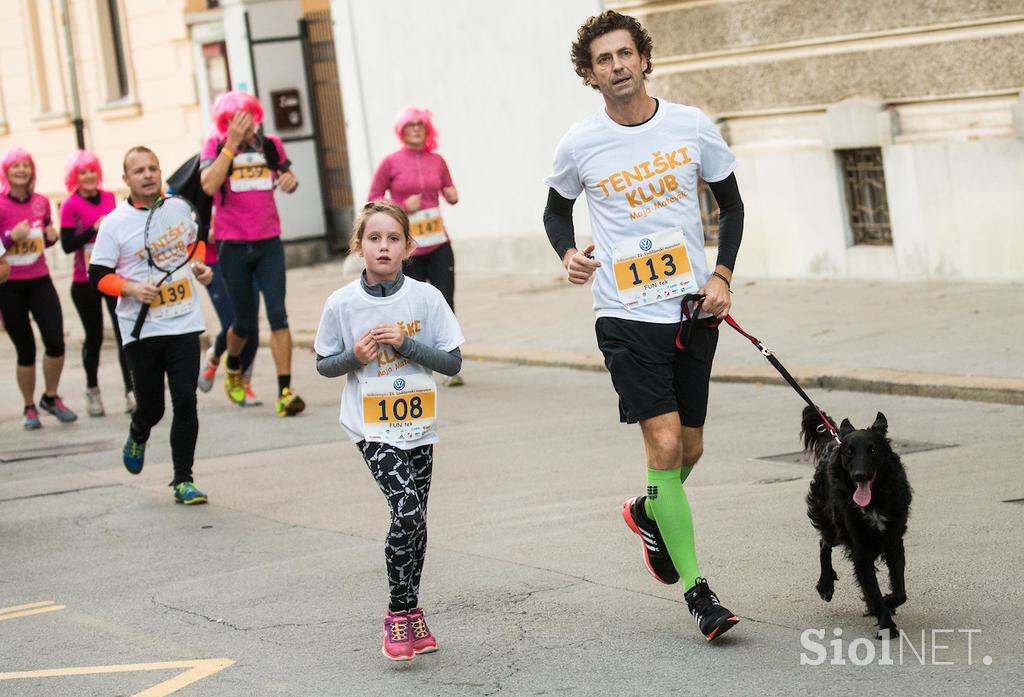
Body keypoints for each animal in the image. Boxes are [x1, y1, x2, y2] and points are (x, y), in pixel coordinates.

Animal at [798, 405, 913, 638]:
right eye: (850, 452)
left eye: (872, 450)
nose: (860, 475)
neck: (875, 501)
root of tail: (834, 441)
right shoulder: (861, 550)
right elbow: (873, 589)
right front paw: (886, 624)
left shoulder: (894, 541)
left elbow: (900, 591)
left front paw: (887, 602)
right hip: (832, 522)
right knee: (824, 543)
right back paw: (825, 585)